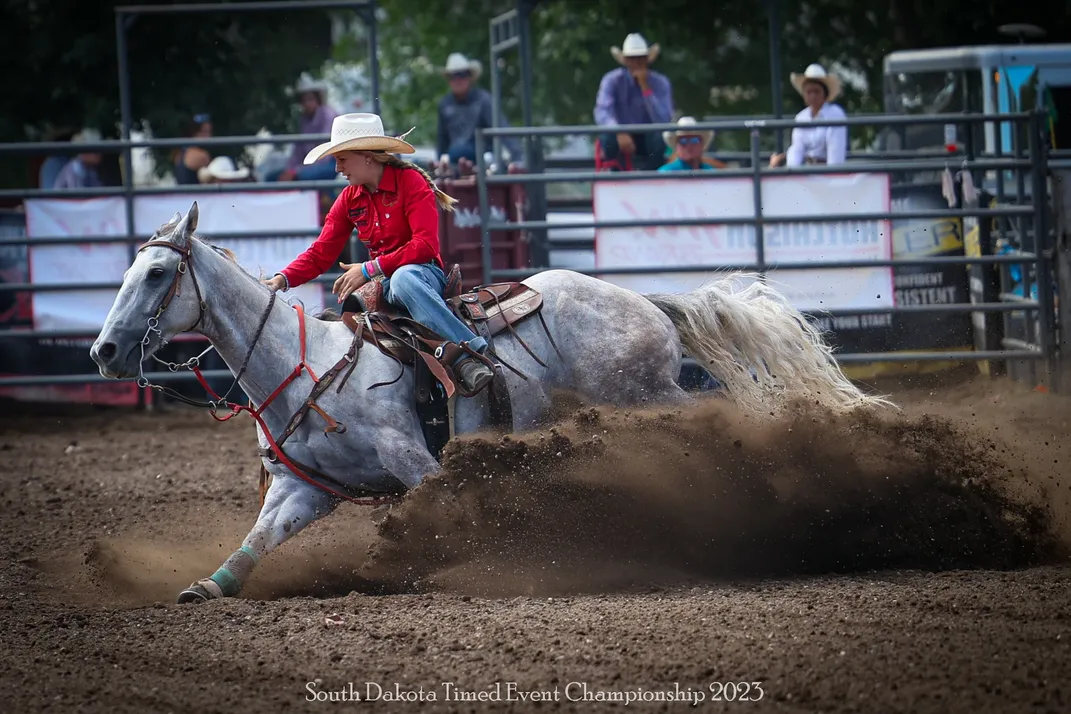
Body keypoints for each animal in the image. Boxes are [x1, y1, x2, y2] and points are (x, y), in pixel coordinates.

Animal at [87, 202, 882, 603]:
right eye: (126, 269)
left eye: (155, 273)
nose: (104, 351)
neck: (304, 365)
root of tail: (645, 302)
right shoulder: (305, 488)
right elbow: (256, 540)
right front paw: (207, 586)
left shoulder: (418, 461)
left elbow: (443, 513)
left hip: (646, 397)